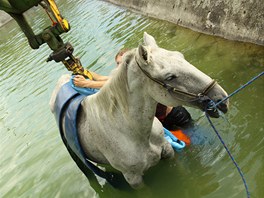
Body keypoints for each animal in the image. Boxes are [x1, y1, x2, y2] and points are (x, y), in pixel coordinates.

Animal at [49, 32, 229, 189]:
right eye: (170, 77)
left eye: (181, 56)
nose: (221, 97)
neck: (133, 132)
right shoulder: (134, 179)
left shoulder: (169, 152)